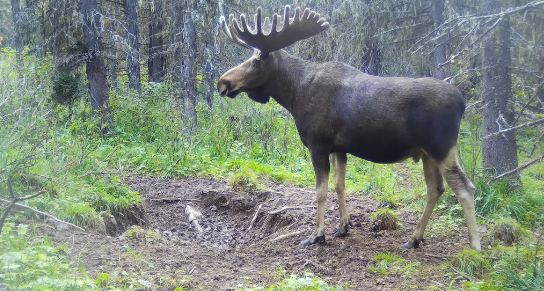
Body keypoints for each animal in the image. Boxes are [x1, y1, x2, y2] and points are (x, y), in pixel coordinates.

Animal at [217, 5, 480, 251]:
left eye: (256, 61)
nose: (223, 82)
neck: (294, 96)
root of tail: (462, 103)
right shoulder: (339, 148)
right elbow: (339, 185)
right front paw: (343, 226)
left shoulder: (318, 145)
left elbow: (321, 192)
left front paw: (316, 235)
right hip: (426, 153)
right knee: (436, 189)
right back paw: (414, 239)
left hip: (441, 147)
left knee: (465, 188)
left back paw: (475, 245)